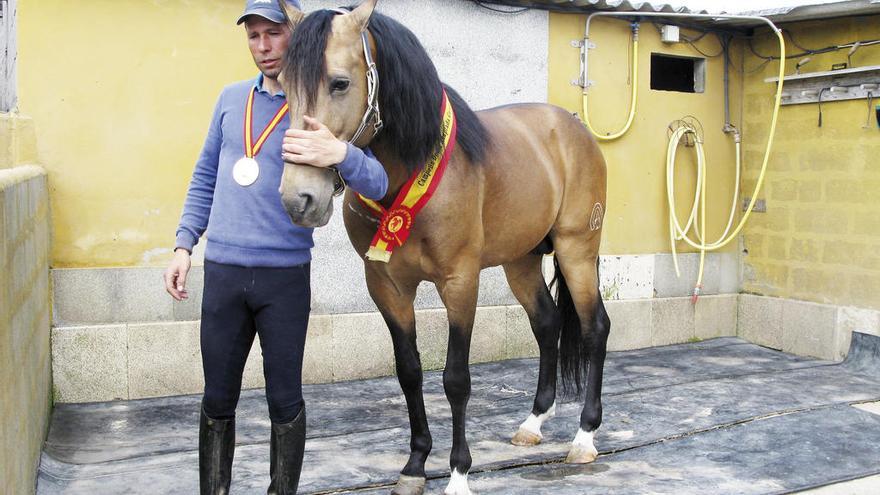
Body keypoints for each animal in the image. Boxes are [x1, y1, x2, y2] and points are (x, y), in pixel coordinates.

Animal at [278, 1, 608, 494]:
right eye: (282, 87)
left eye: (340, 83)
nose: (299, 198)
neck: (406, 170)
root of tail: (573, 127)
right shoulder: (387, 286)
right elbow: (410, 372)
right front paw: (415, 465)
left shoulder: (459, 282)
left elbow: (456, 379)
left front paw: (458, 473)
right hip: (521, 261)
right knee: (547, 323)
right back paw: (533, 423)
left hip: (577, 252)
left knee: (594, 329)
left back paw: (585, 436)